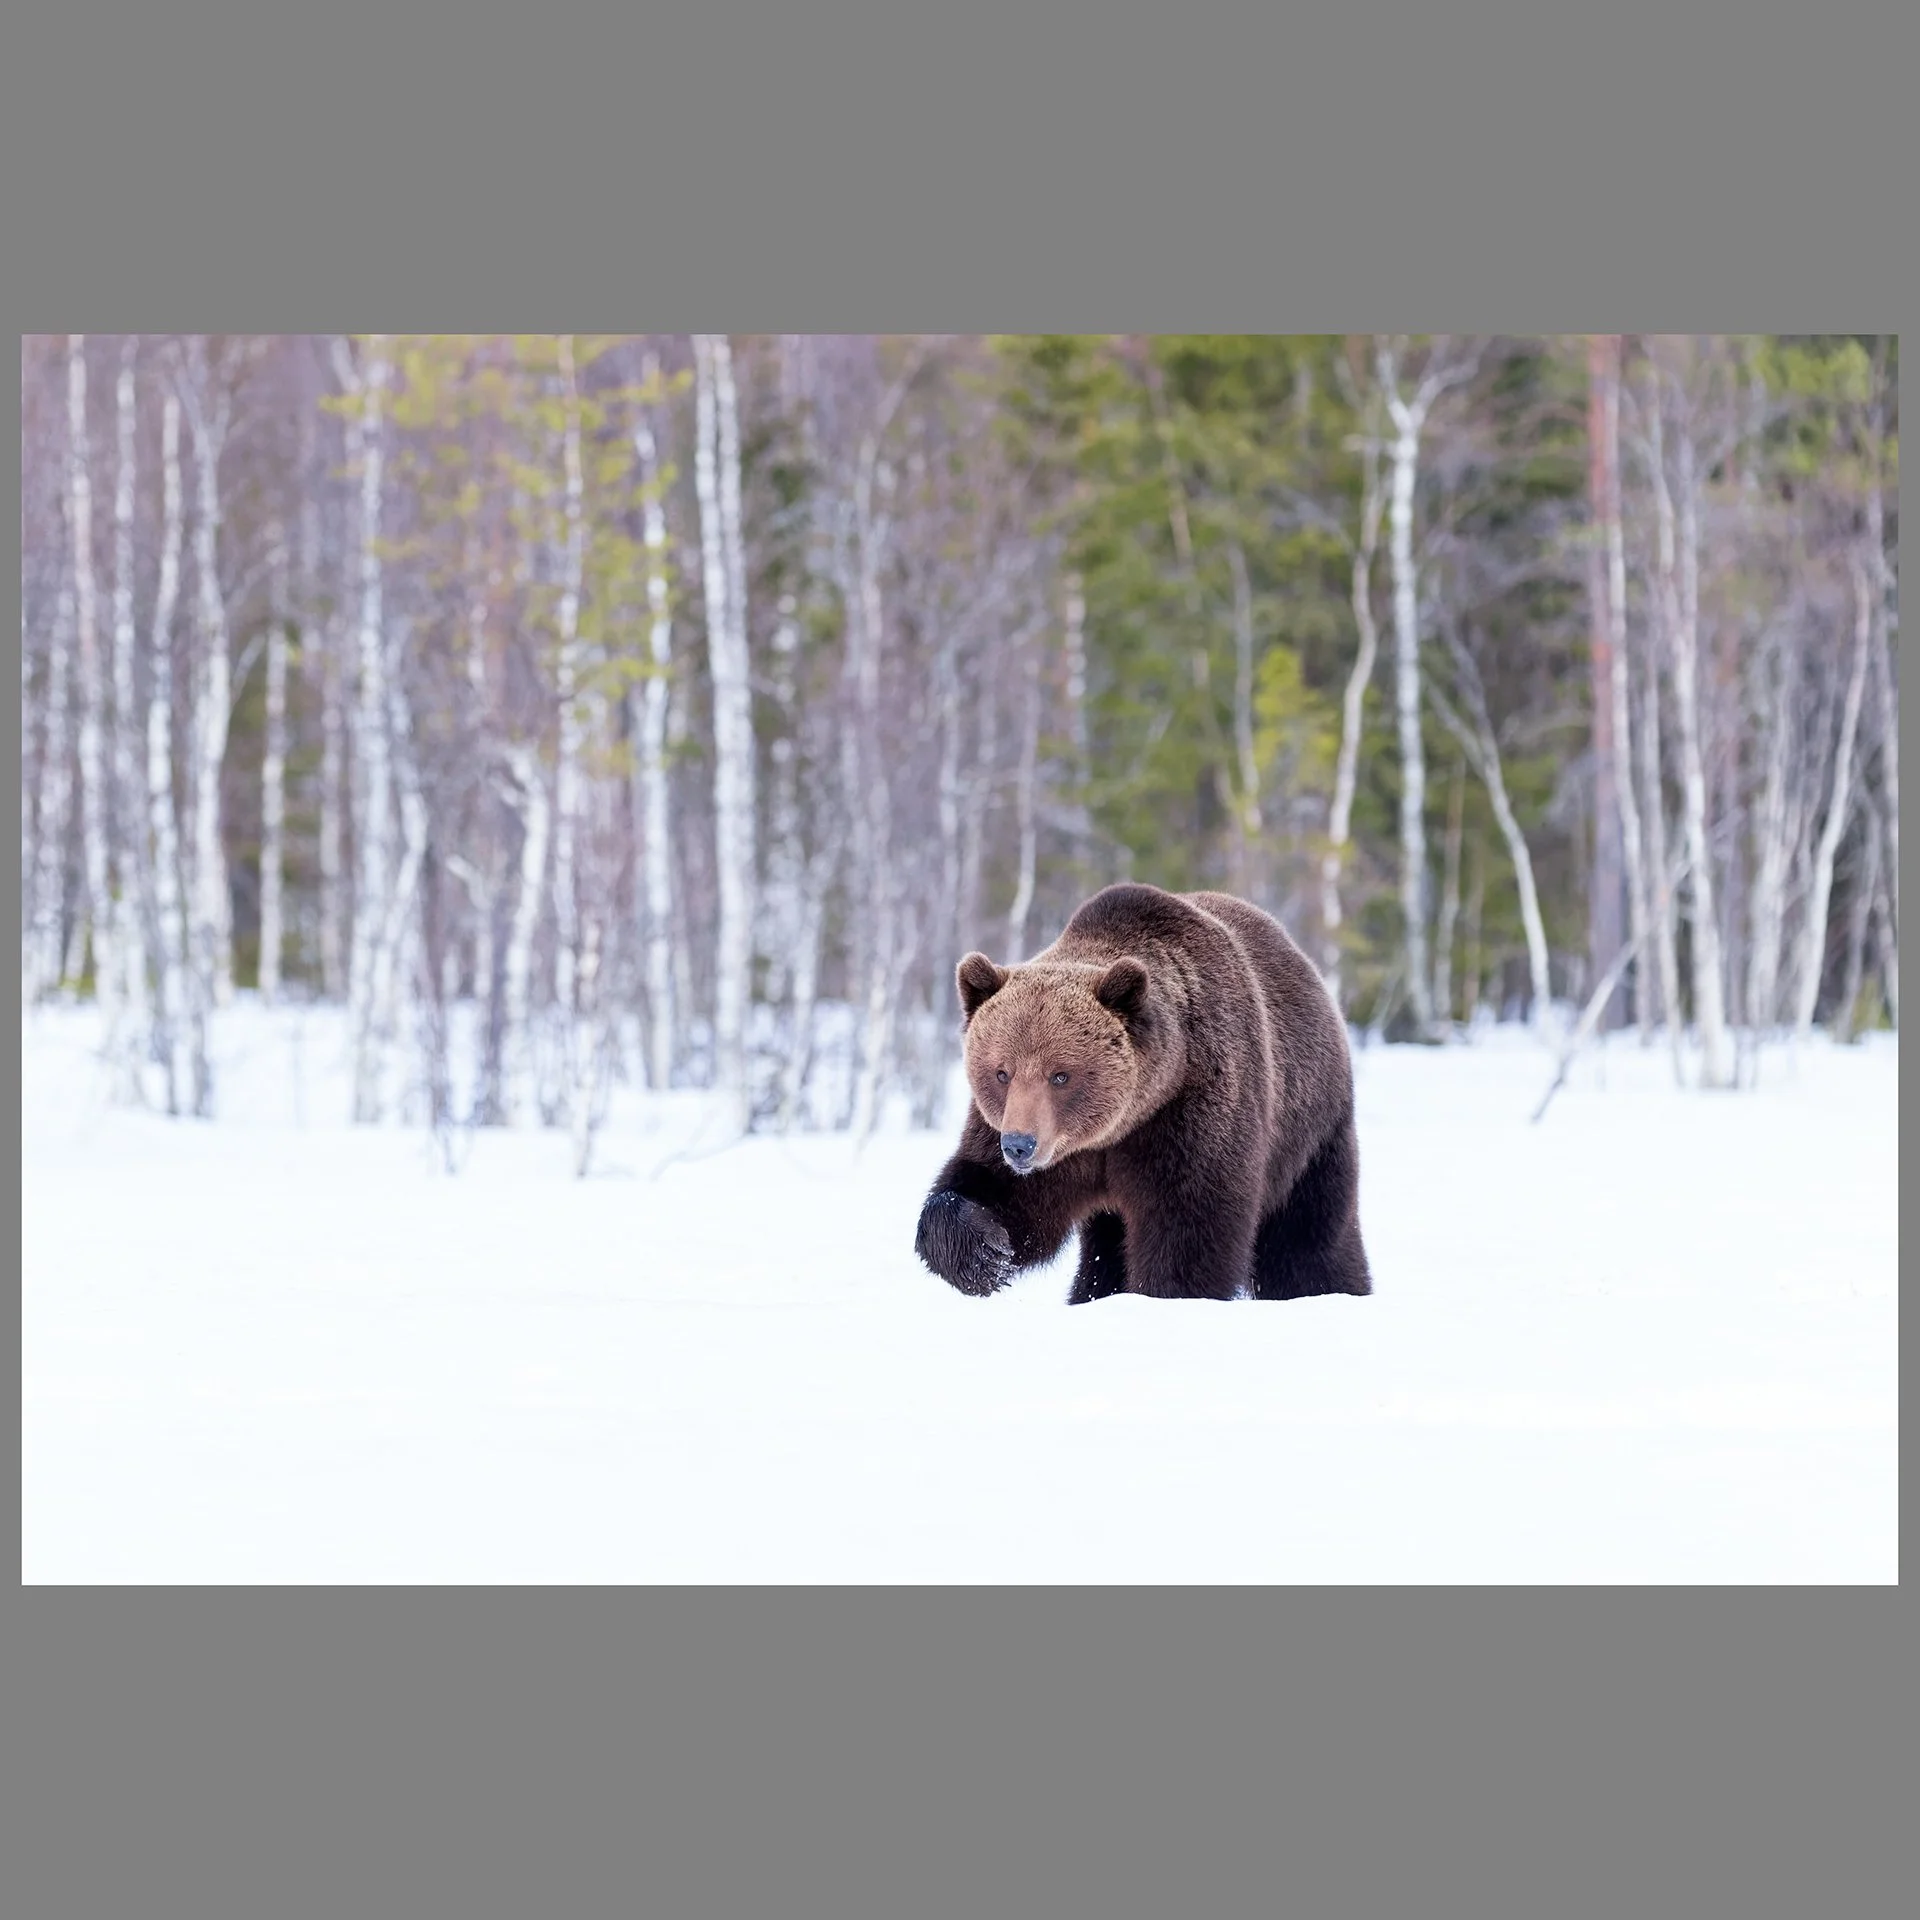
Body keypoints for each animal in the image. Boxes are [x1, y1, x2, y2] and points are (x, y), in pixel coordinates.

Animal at [913, 882, 1372, 1304]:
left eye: (1060, 1075)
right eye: (1001, 1072)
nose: (1019, 1145)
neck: (1120, 1125)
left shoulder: (1190, 1111)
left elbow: (1188, 1226)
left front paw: (1165, 1293)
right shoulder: (1049, 1149)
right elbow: (1001, 1197)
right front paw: (985, 1253)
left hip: (1308, 1129)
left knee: (1308, 1236)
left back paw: (1333, 1289)